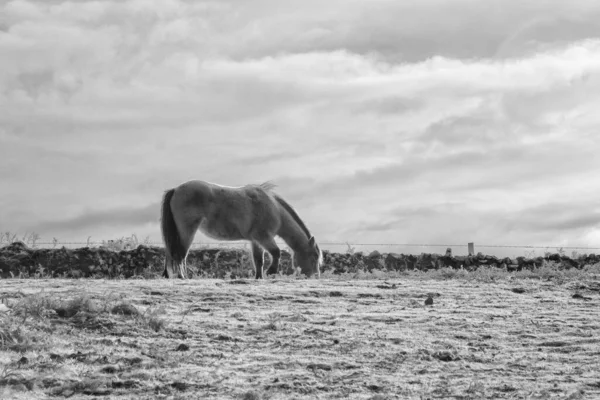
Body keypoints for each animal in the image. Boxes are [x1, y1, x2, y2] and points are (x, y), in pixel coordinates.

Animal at [157, 180, 322, 280]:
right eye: (314, 256)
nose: (315, 276)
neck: (274, 209)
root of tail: (175, 190)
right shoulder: (264, 237)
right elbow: (276, 252)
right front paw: (271, 271)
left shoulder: (256, 241)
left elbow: (259, 260)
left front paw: (259, 277)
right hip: (186, 231)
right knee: (180, 254)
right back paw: (182, 276)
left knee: (171, 253)